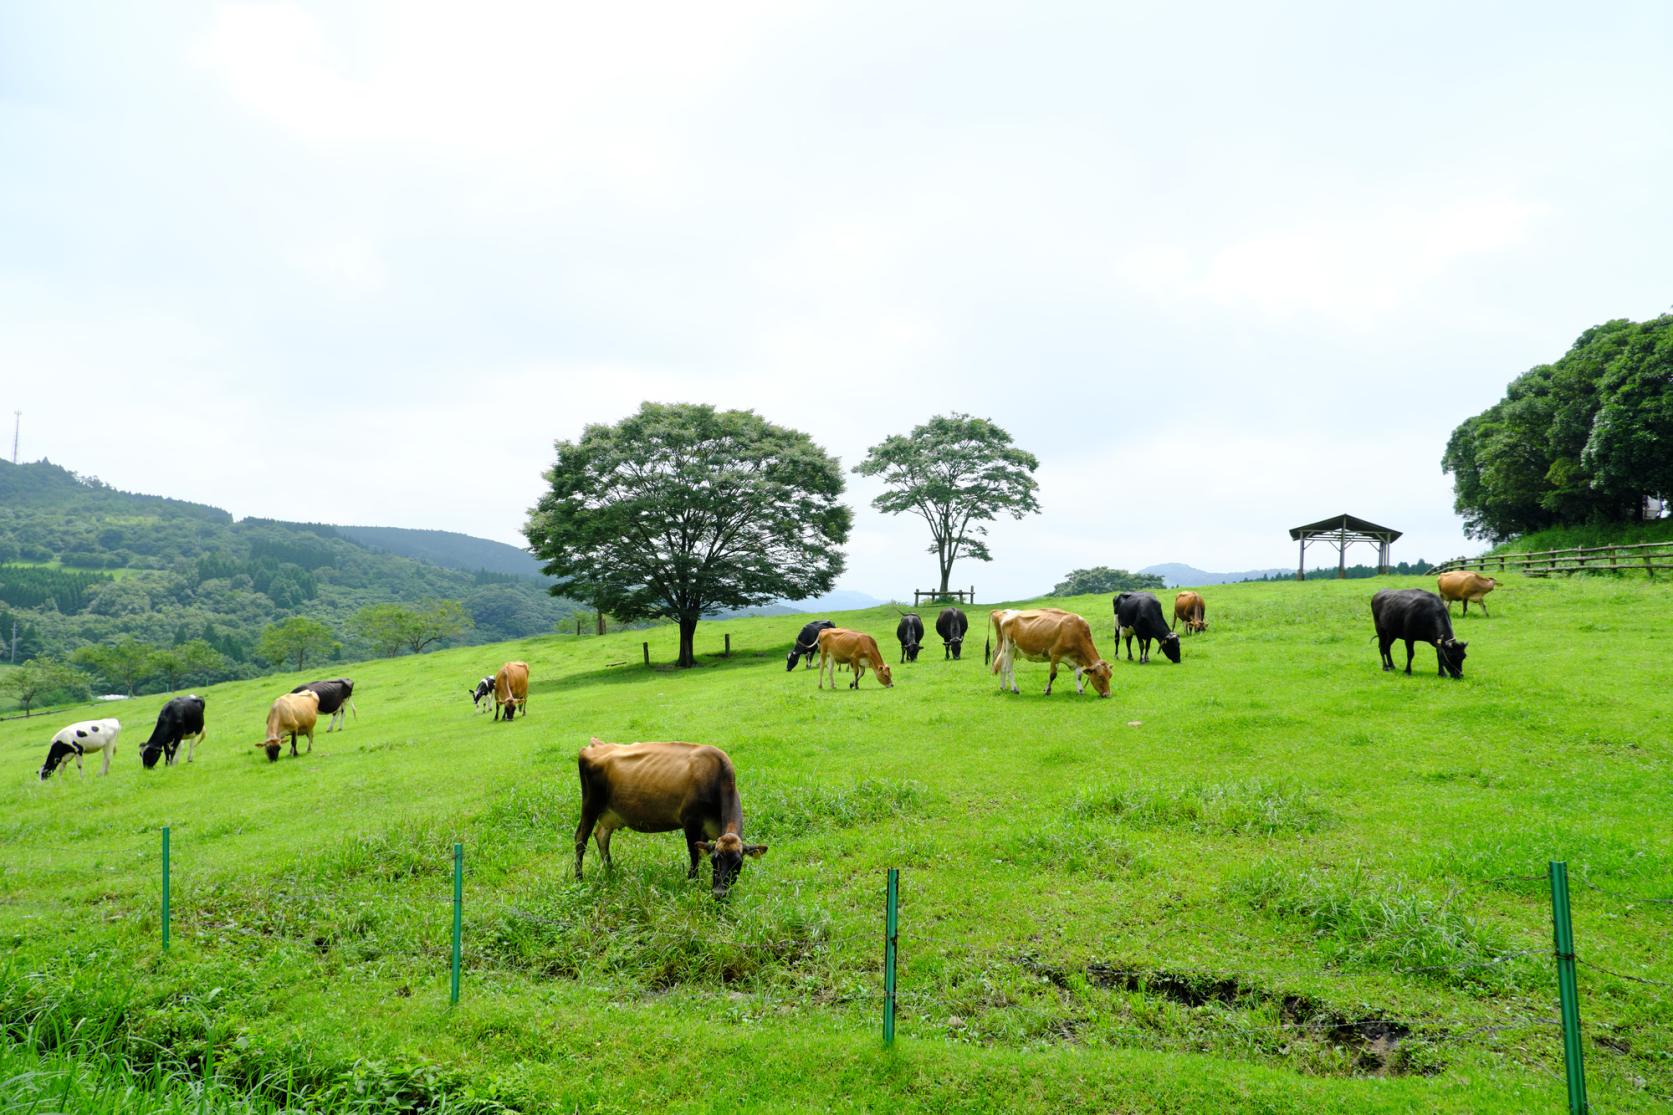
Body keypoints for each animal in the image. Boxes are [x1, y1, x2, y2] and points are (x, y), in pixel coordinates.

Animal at [568, 736, 766, 897]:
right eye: (715, 860)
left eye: (737, 863)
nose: (719, 893)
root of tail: (596, 745)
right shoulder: (691, 822)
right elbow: (694, 856)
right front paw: (692, 883)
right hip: (590, 805)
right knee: (581, 838)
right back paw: (579, 878)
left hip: (609, 813)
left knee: (601, 835)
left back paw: (611, 871)